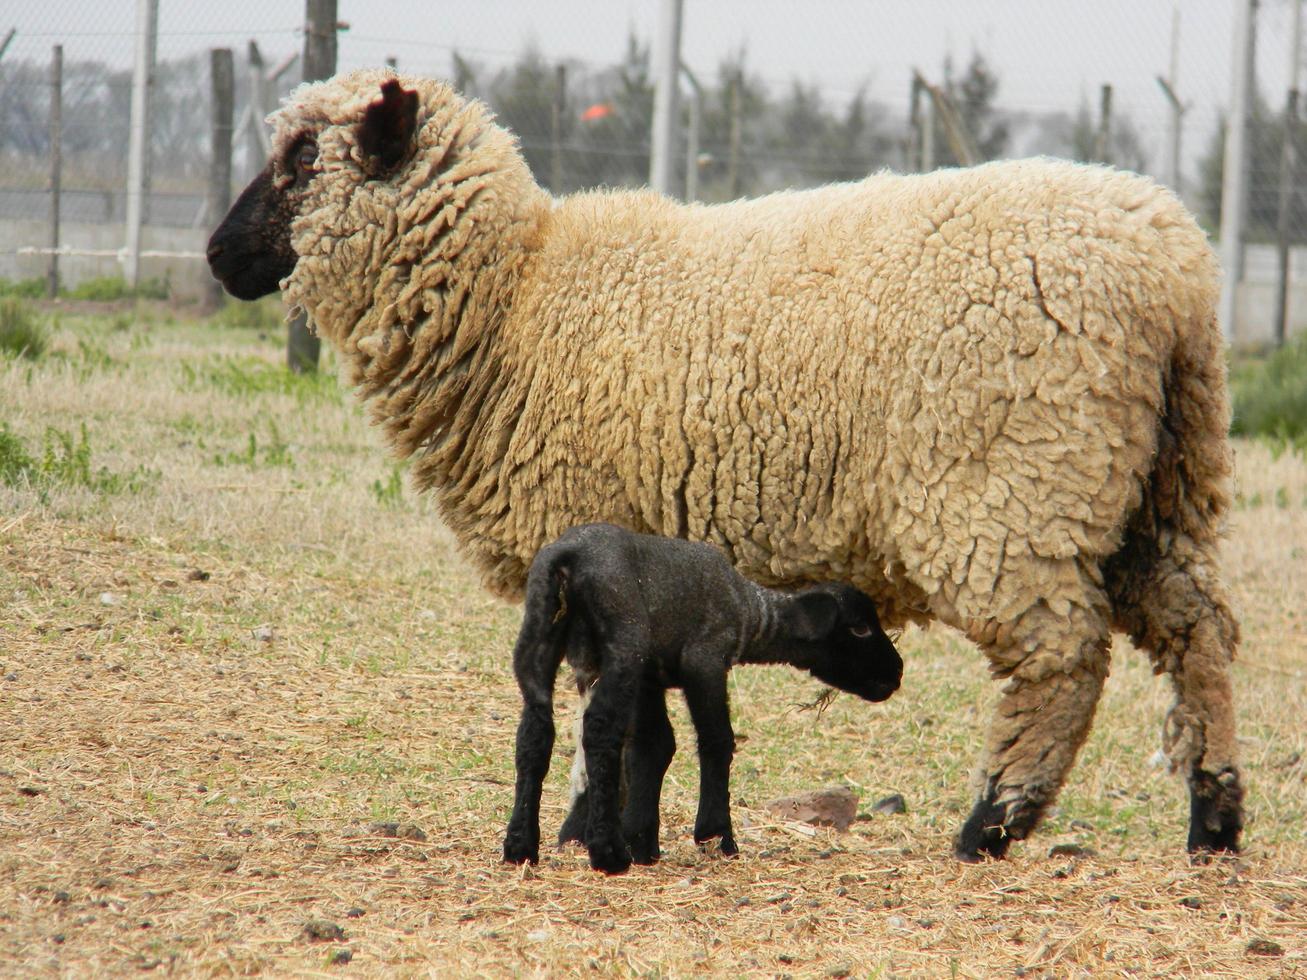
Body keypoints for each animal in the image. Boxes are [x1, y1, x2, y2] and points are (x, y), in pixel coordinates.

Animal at [499, 525, 899, 878]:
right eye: (860, 628)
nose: (897, 671)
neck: (749, 612)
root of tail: (568, 557)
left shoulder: (651, 677)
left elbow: (653, 747)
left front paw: (642, 842)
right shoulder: (704, 658)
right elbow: (717, 740)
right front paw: (716, 836)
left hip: (540, 632)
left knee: (534, 733)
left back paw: (520, 847)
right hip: (624, 640)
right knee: (599, 732)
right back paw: (608, 854)